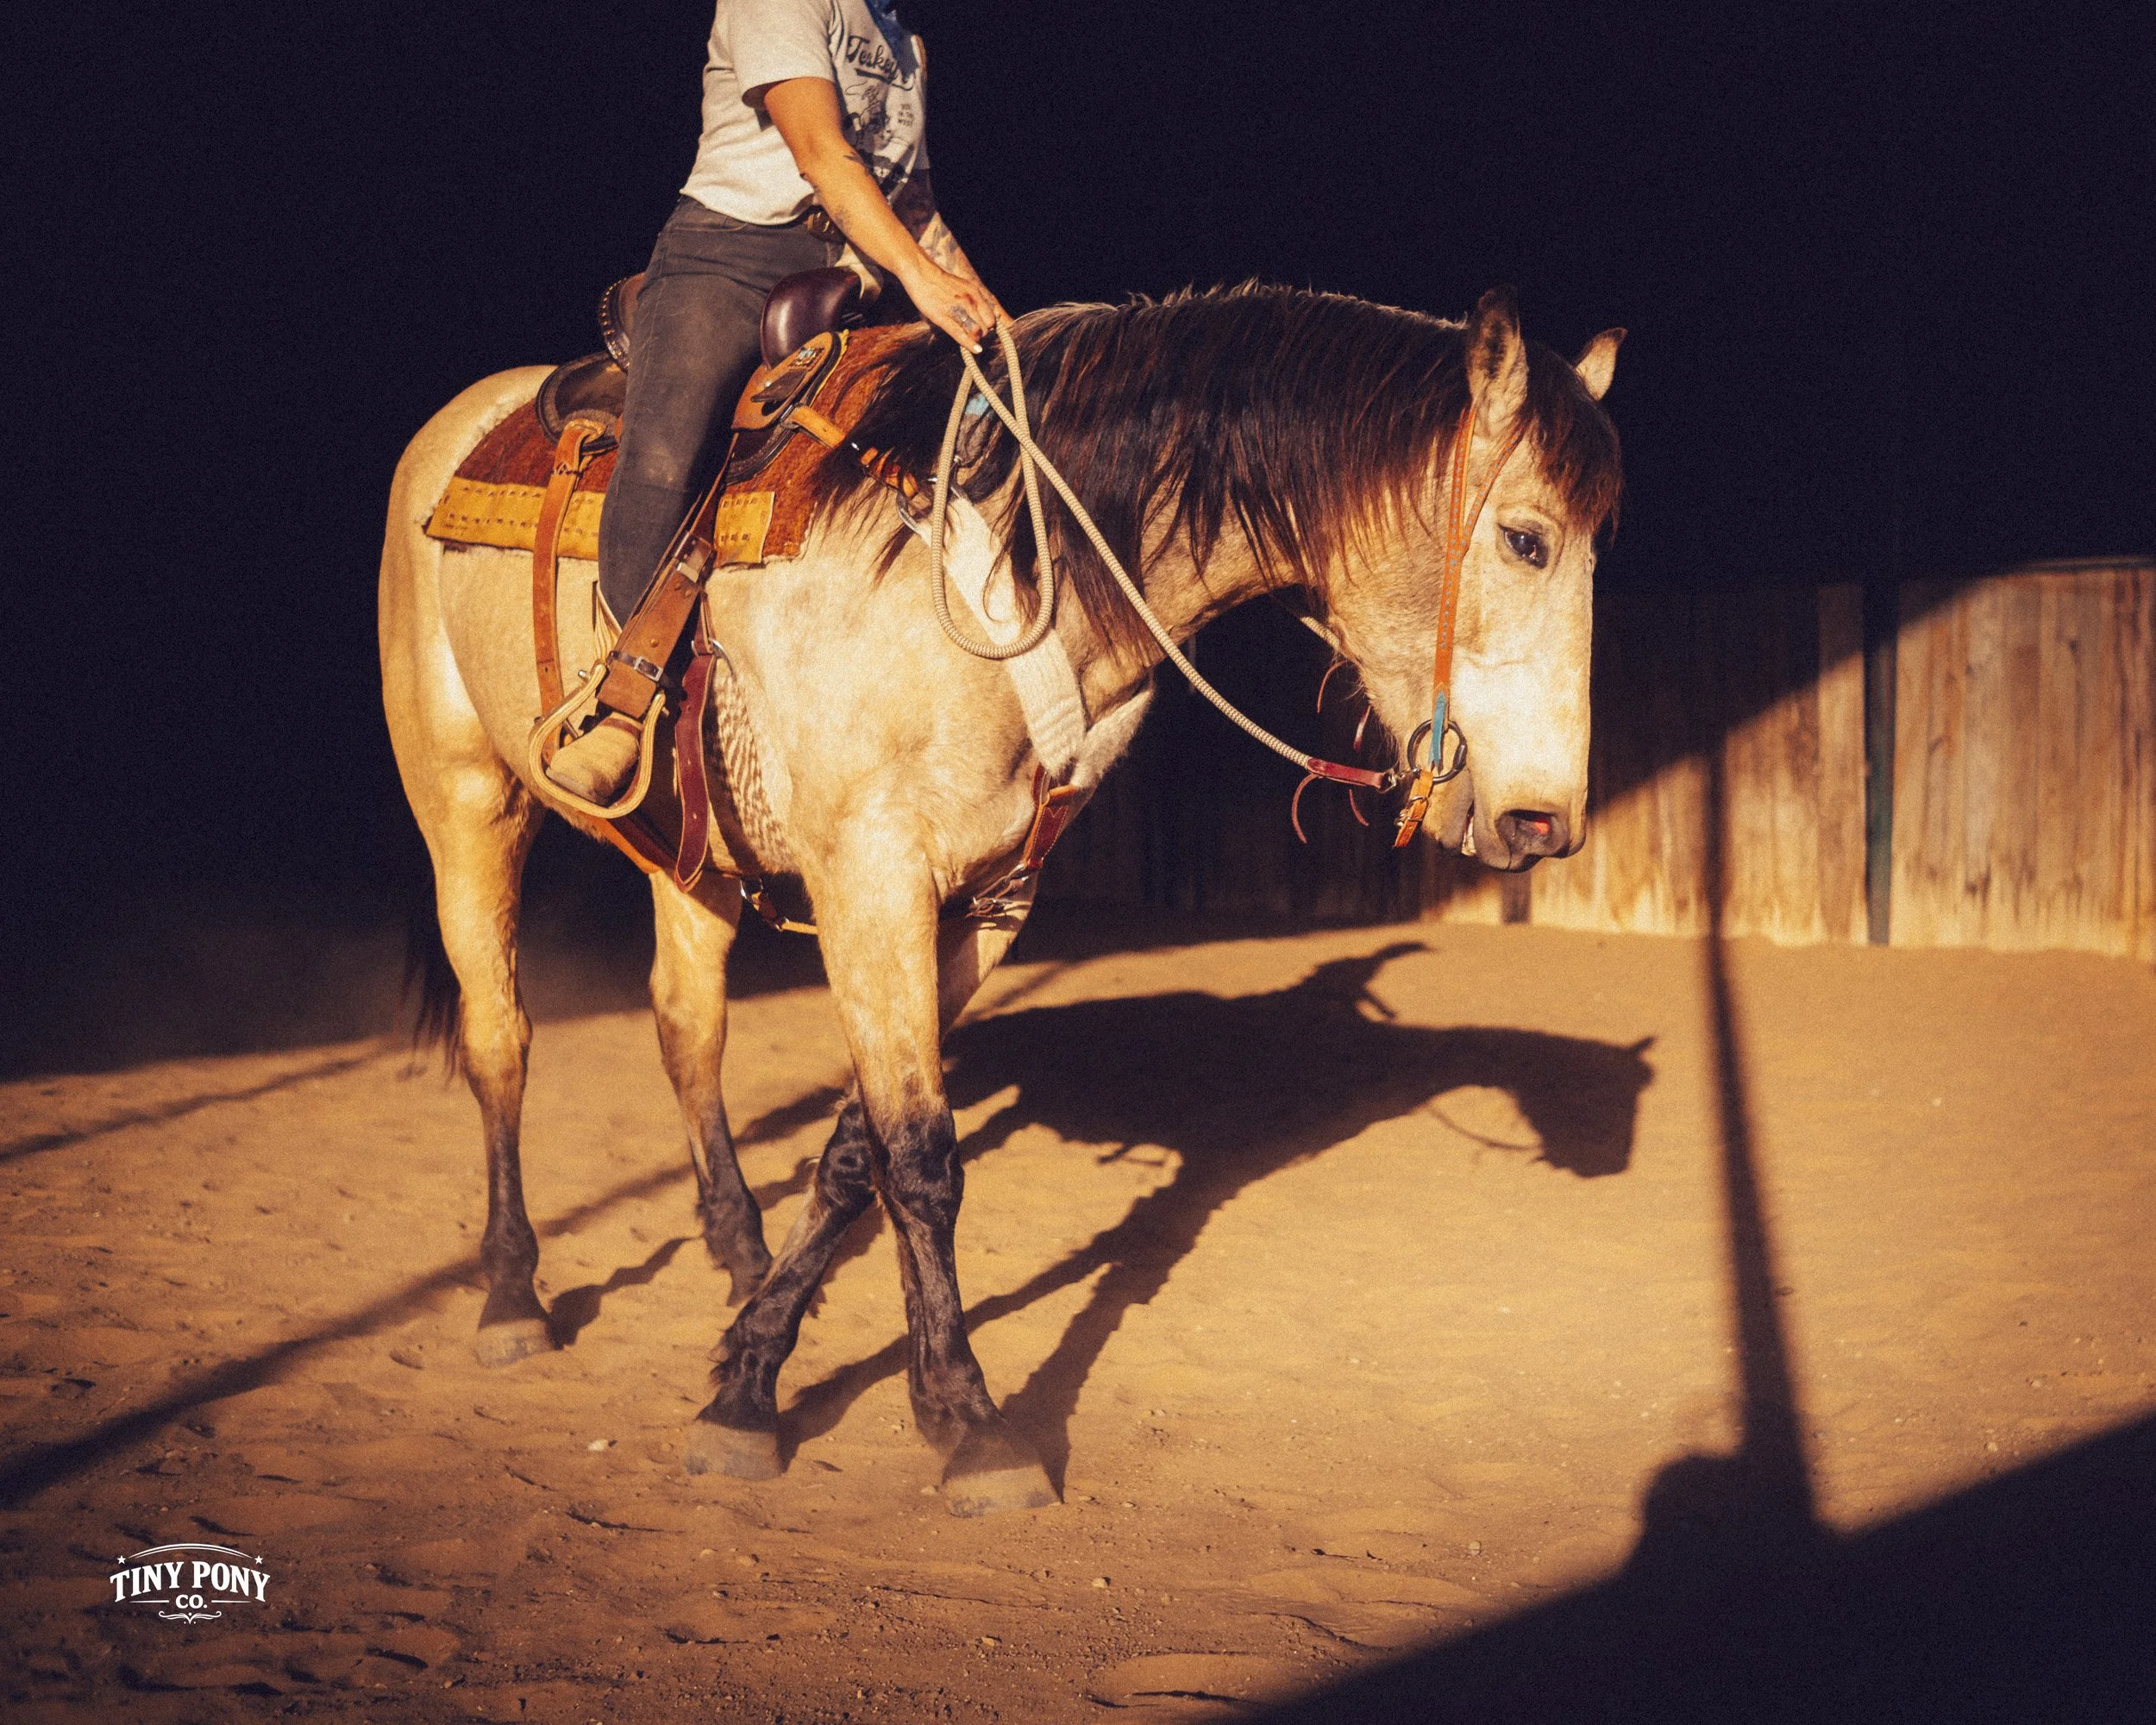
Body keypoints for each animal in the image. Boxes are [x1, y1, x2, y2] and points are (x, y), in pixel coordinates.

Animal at [378, 282, 1623, 1516]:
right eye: (1525, 538)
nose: (1544, 823)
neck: (997, 582)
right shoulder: (870, 877)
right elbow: (920, 1157)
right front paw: (970, 1422)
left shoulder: (980, 904)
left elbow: (858, 1150)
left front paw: (751, 1372)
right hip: (465, 796)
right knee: (501, 1037)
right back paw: (511, 1296)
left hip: (695, 854)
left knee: (688, 1027)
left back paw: (734, 1246)